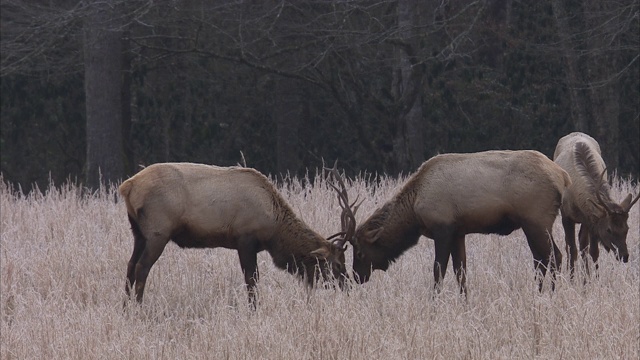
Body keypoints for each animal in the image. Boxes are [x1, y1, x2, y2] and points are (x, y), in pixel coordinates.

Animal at [119, 162, 350, 306]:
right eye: (338, 264)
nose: (347, 286)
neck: (274, 228)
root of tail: (127, 187)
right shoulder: (245, 238)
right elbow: (252, 279)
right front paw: (254, 310)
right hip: (158, 231)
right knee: (142, 267)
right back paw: (139, 308)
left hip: (139, 233)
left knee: (130, 265)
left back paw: (125, 308)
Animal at [552, 132, 636, 276]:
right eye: (609, 229)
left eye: (627, 228)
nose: (624, 256)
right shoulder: (566, 215)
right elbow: (572, 249)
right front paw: (571, 277)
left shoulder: (590, 219)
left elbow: (592, 251)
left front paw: (592, 278)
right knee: (569, 246)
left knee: (583, 245)